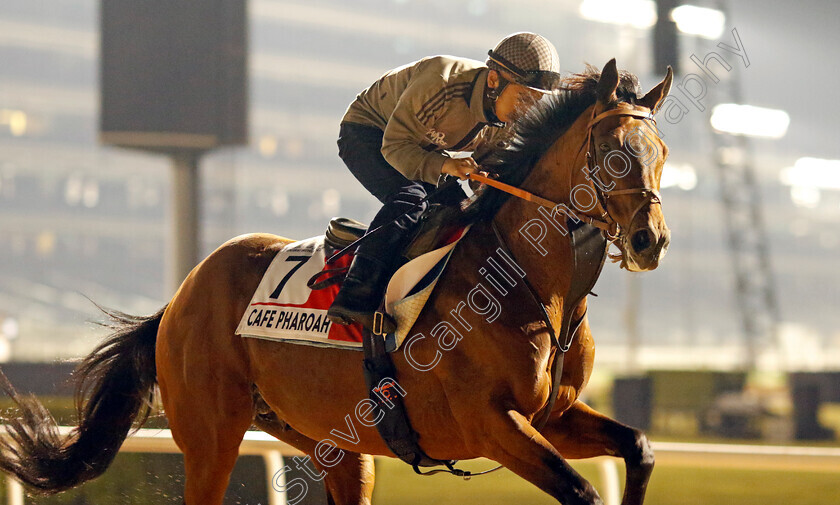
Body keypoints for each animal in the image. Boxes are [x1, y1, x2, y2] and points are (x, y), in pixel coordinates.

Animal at [0, 61, 672, 504]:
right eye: (611, 149)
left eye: (662, 151)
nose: (650, 241)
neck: (527, 279)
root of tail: (182, 291)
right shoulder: (490, 422)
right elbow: (582, 491)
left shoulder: (554, 414)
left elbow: (639, 447)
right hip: (211, 434)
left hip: (333, 439)